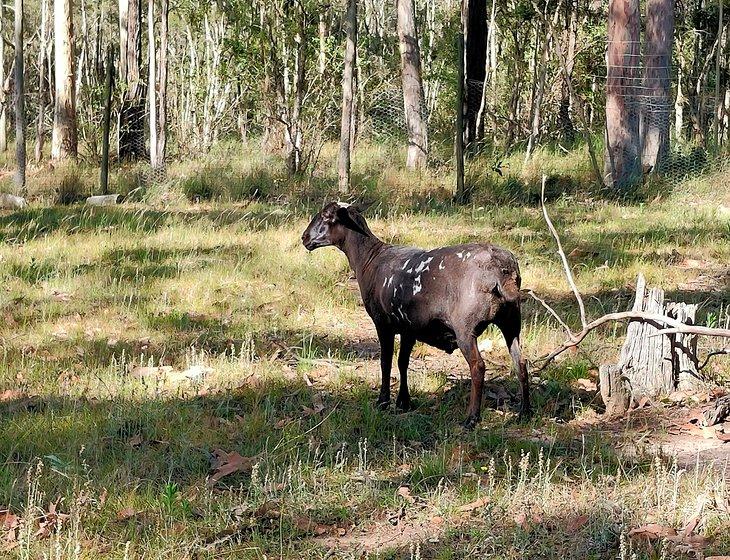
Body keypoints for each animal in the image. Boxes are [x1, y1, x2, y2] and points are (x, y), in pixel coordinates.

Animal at [298, 203, 528, 426]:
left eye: (327, 215)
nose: (304, 237)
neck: (369, 259)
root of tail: (503, 270)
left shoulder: (382, 323)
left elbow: (386, 362)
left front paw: (383, 401)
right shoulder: (409, 327)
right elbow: (403, 362)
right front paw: (404, 402)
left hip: (465, 328)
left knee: (478, 367)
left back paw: (472, 418)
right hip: (512, 322)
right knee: (521, 363)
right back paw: (525, 412)